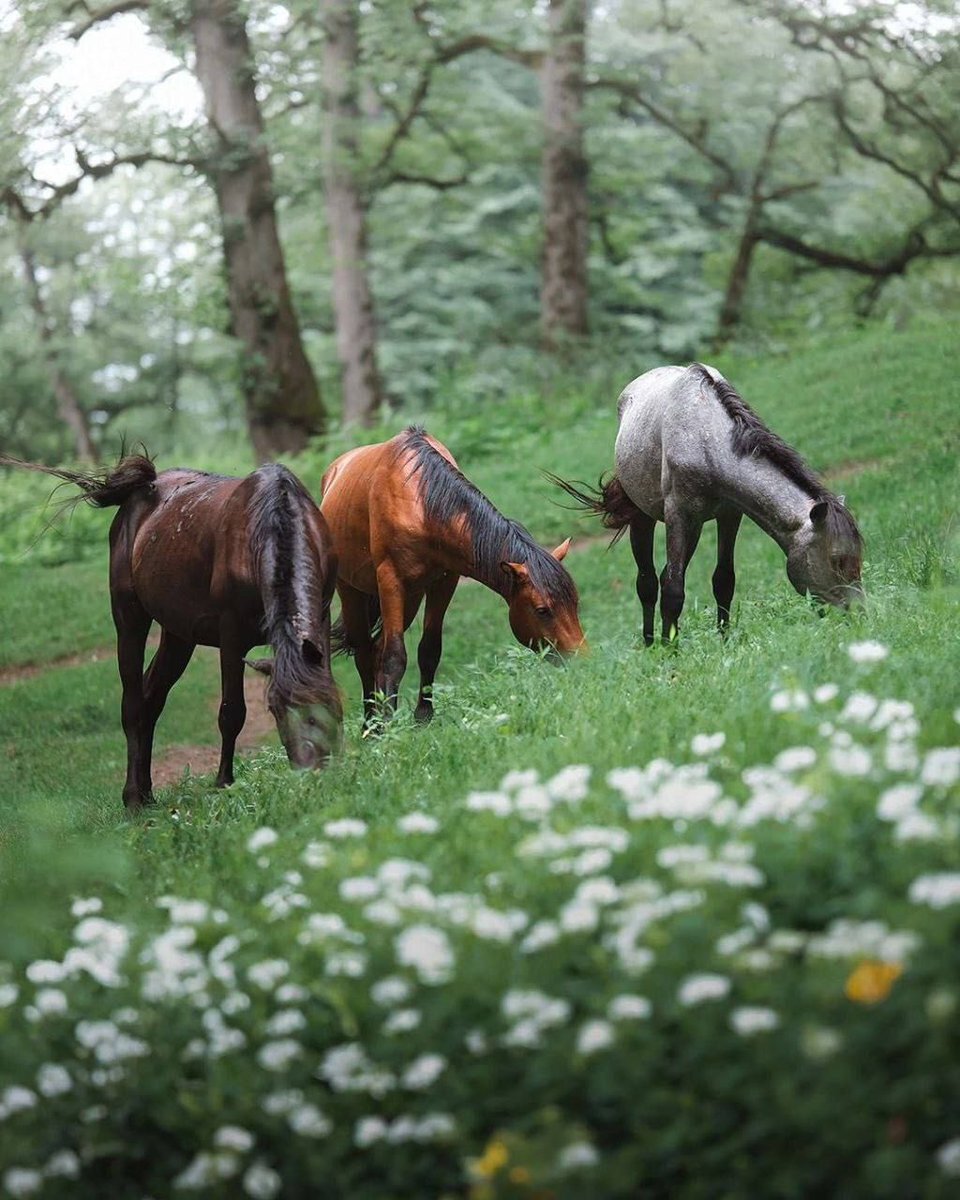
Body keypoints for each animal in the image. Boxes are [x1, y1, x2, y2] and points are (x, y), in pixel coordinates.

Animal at [0, 453, 340, 811]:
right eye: (275, 710)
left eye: (326, 705)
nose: (312, 771)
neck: (268, 525)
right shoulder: (231, 635)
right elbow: (231, 712)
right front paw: (223, 783)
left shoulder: (321, 616)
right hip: (129, 617)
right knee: (133, 704)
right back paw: (133, 799)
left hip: (179, 635)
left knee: (152, 699)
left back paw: (147, 793)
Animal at [321, 427, 585, 724]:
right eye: (542, 610)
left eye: (575, 602)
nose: (581, 659)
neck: (420, 502)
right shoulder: (391, 581)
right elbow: (395, 656)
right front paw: (388, 723)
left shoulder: (445, 581)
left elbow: (429, 649)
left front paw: (423, 717)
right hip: (352, 590)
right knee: (365, 653)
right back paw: (372, 723)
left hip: (411, 597)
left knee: (376, 649)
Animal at [552, 360, 864, 648]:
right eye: (837, 560)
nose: (858, 614)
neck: (706, 440)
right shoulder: (678, 516)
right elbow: (673, 589)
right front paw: (670, 651)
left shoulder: (730, 514)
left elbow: (723, 580)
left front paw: (723, 640)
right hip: (645, 517)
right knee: (648, 581)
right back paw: (651, 643)